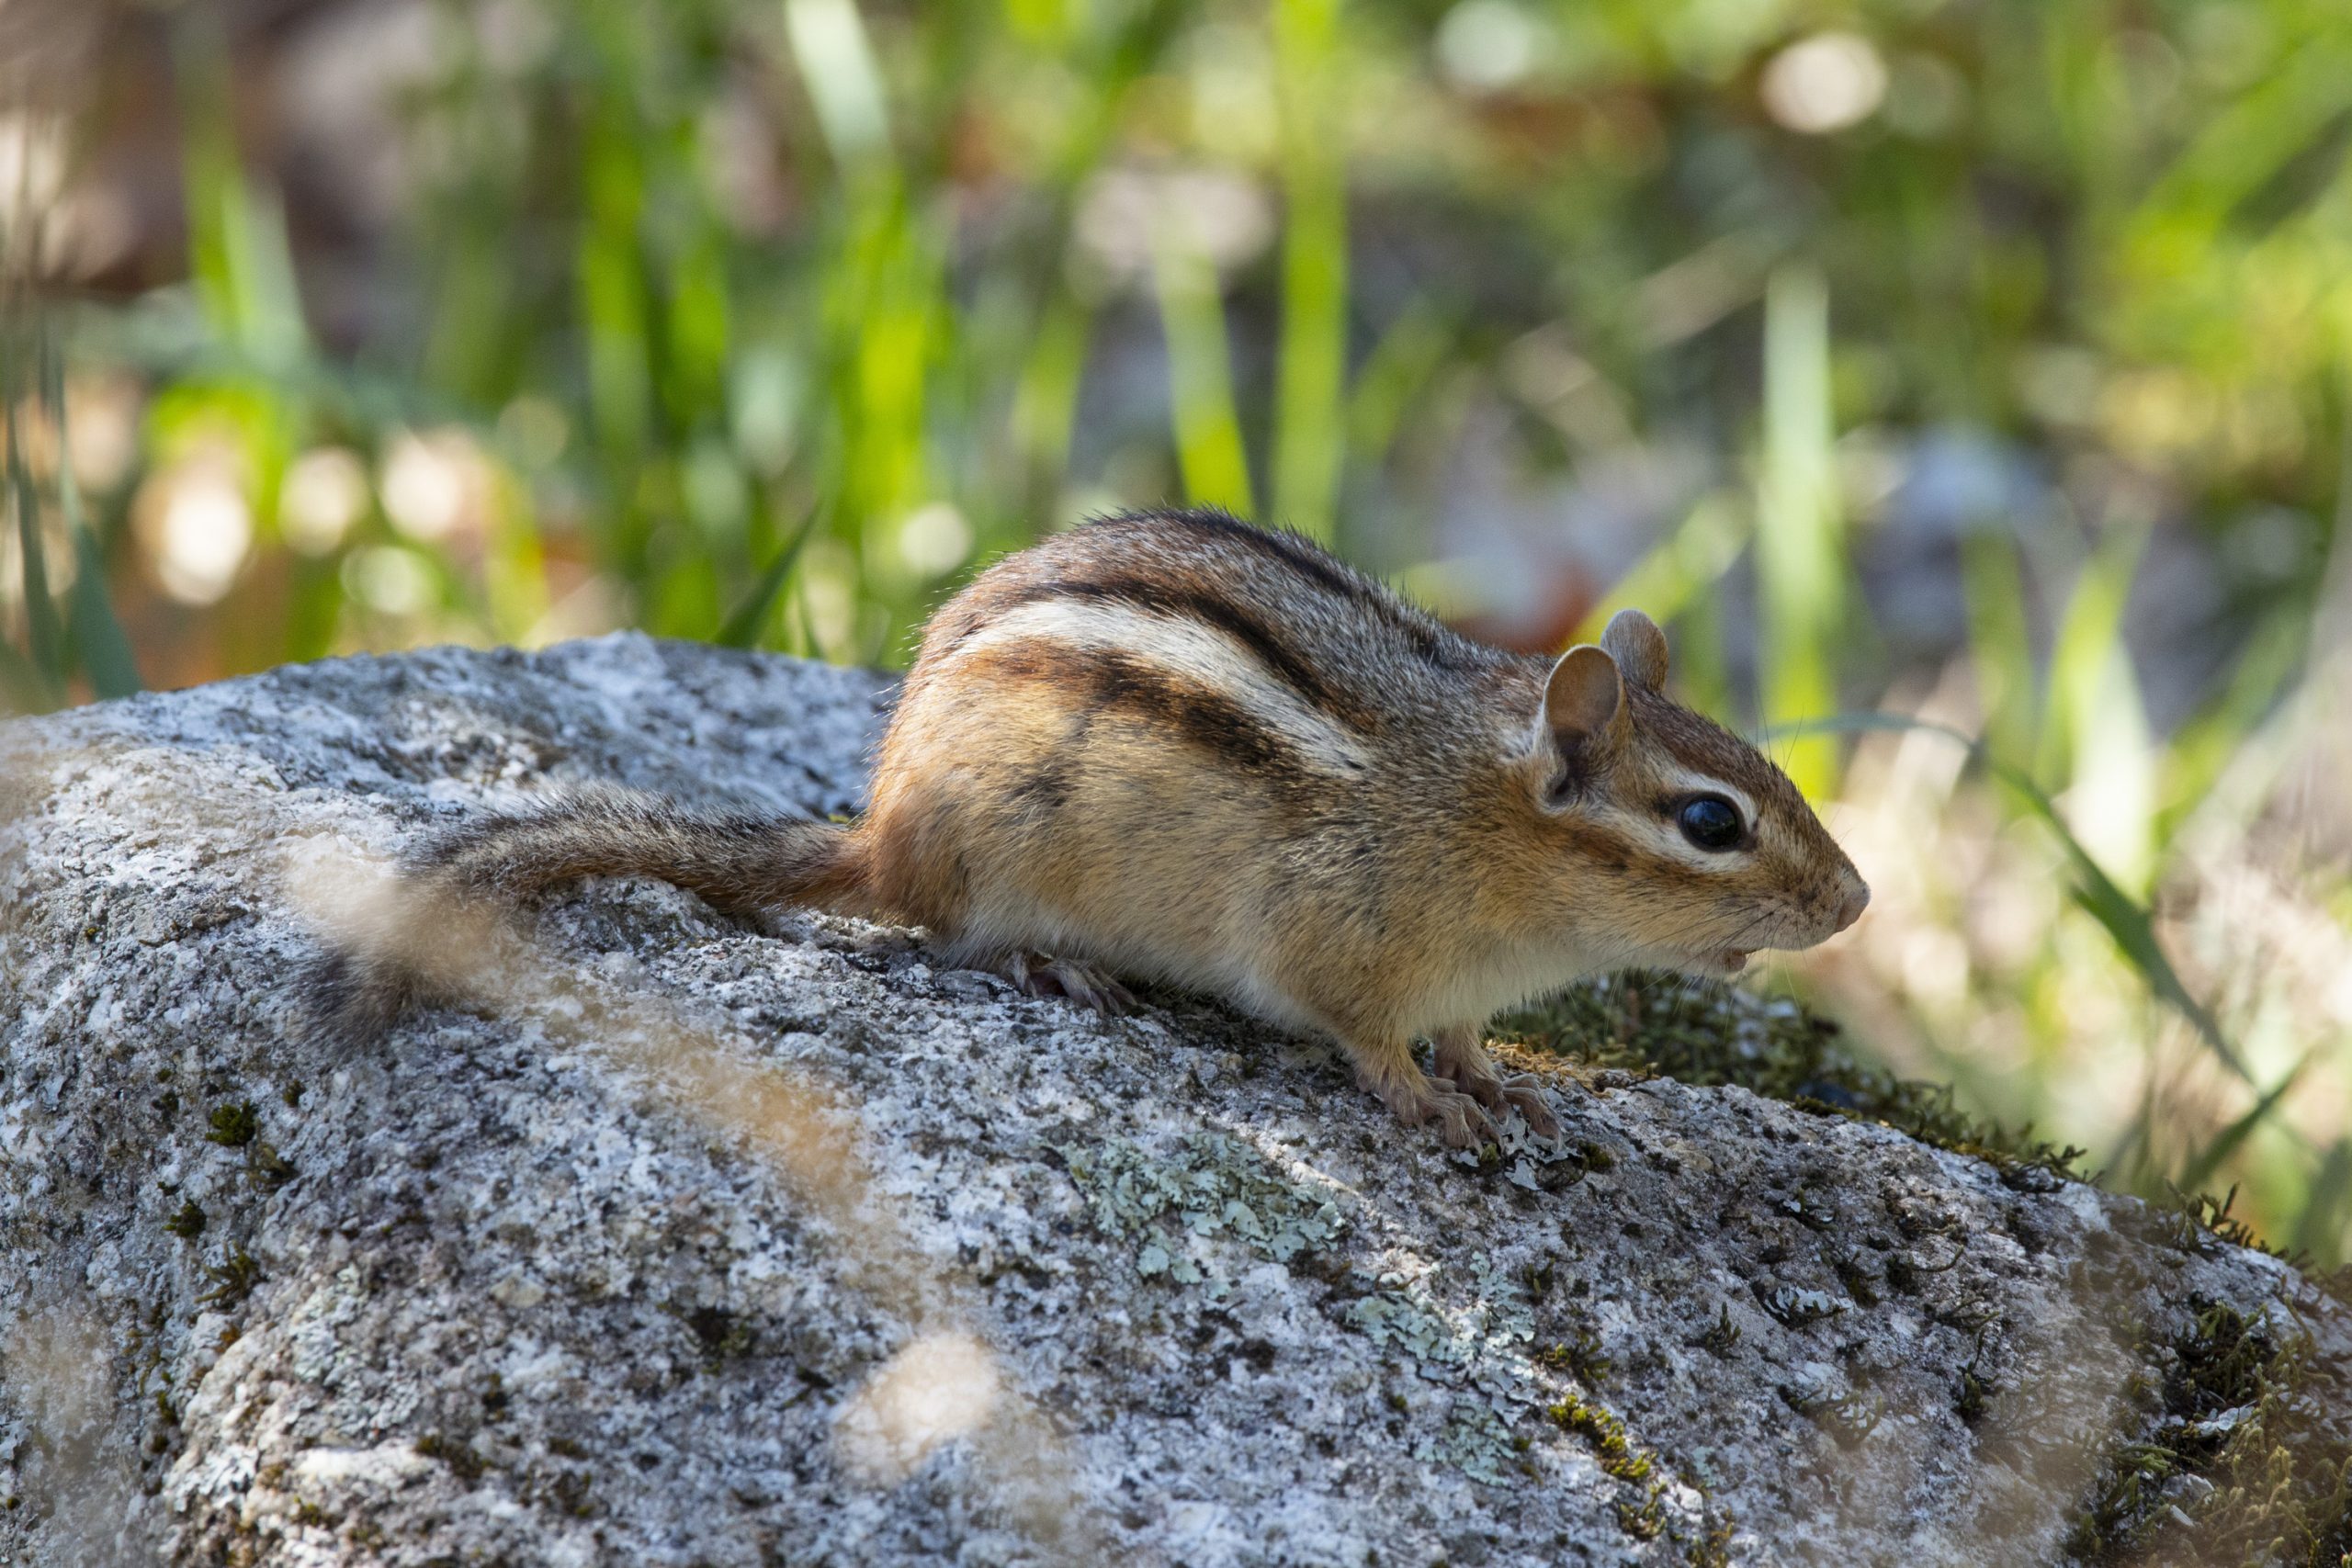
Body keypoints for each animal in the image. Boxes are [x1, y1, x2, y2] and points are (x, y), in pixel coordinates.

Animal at [318, 507, 1868, 1148]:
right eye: (1712, 819)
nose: (1854, 903)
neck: (1478, 821)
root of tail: (879, 828)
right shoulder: (1338, 934)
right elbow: (1363, 1033)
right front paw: (1428, 1100)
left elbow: (1476, 1036)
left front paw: (1505, 1084)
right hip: (995, 860)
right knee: (950, 932)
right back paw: (1046, 962)